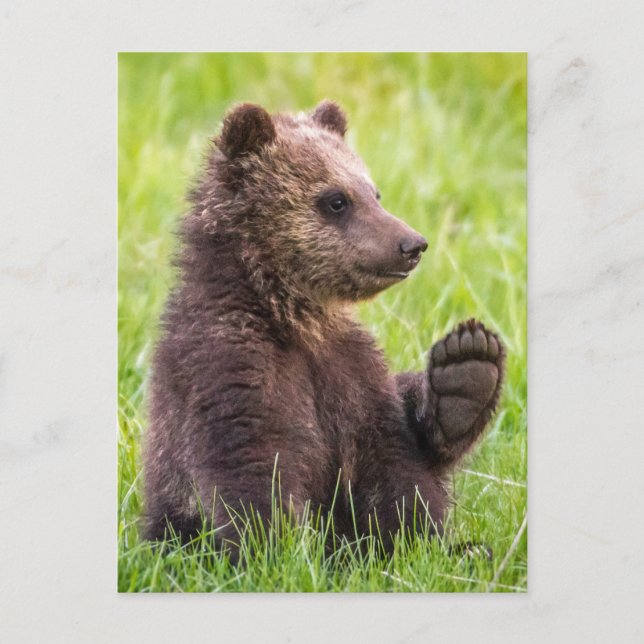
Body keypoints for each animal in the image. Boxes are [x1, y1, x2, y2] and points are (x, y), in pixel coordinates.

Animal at [142, 100, 505, 560]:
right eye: (336, 200)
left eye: (374, 192)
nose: (412, 244)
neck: (294, 316)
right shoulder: (229, 361)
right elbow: (253, 462)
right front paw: (276, 549)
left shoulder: (351, 370)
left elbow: (395, 466)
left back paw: (466, 373)